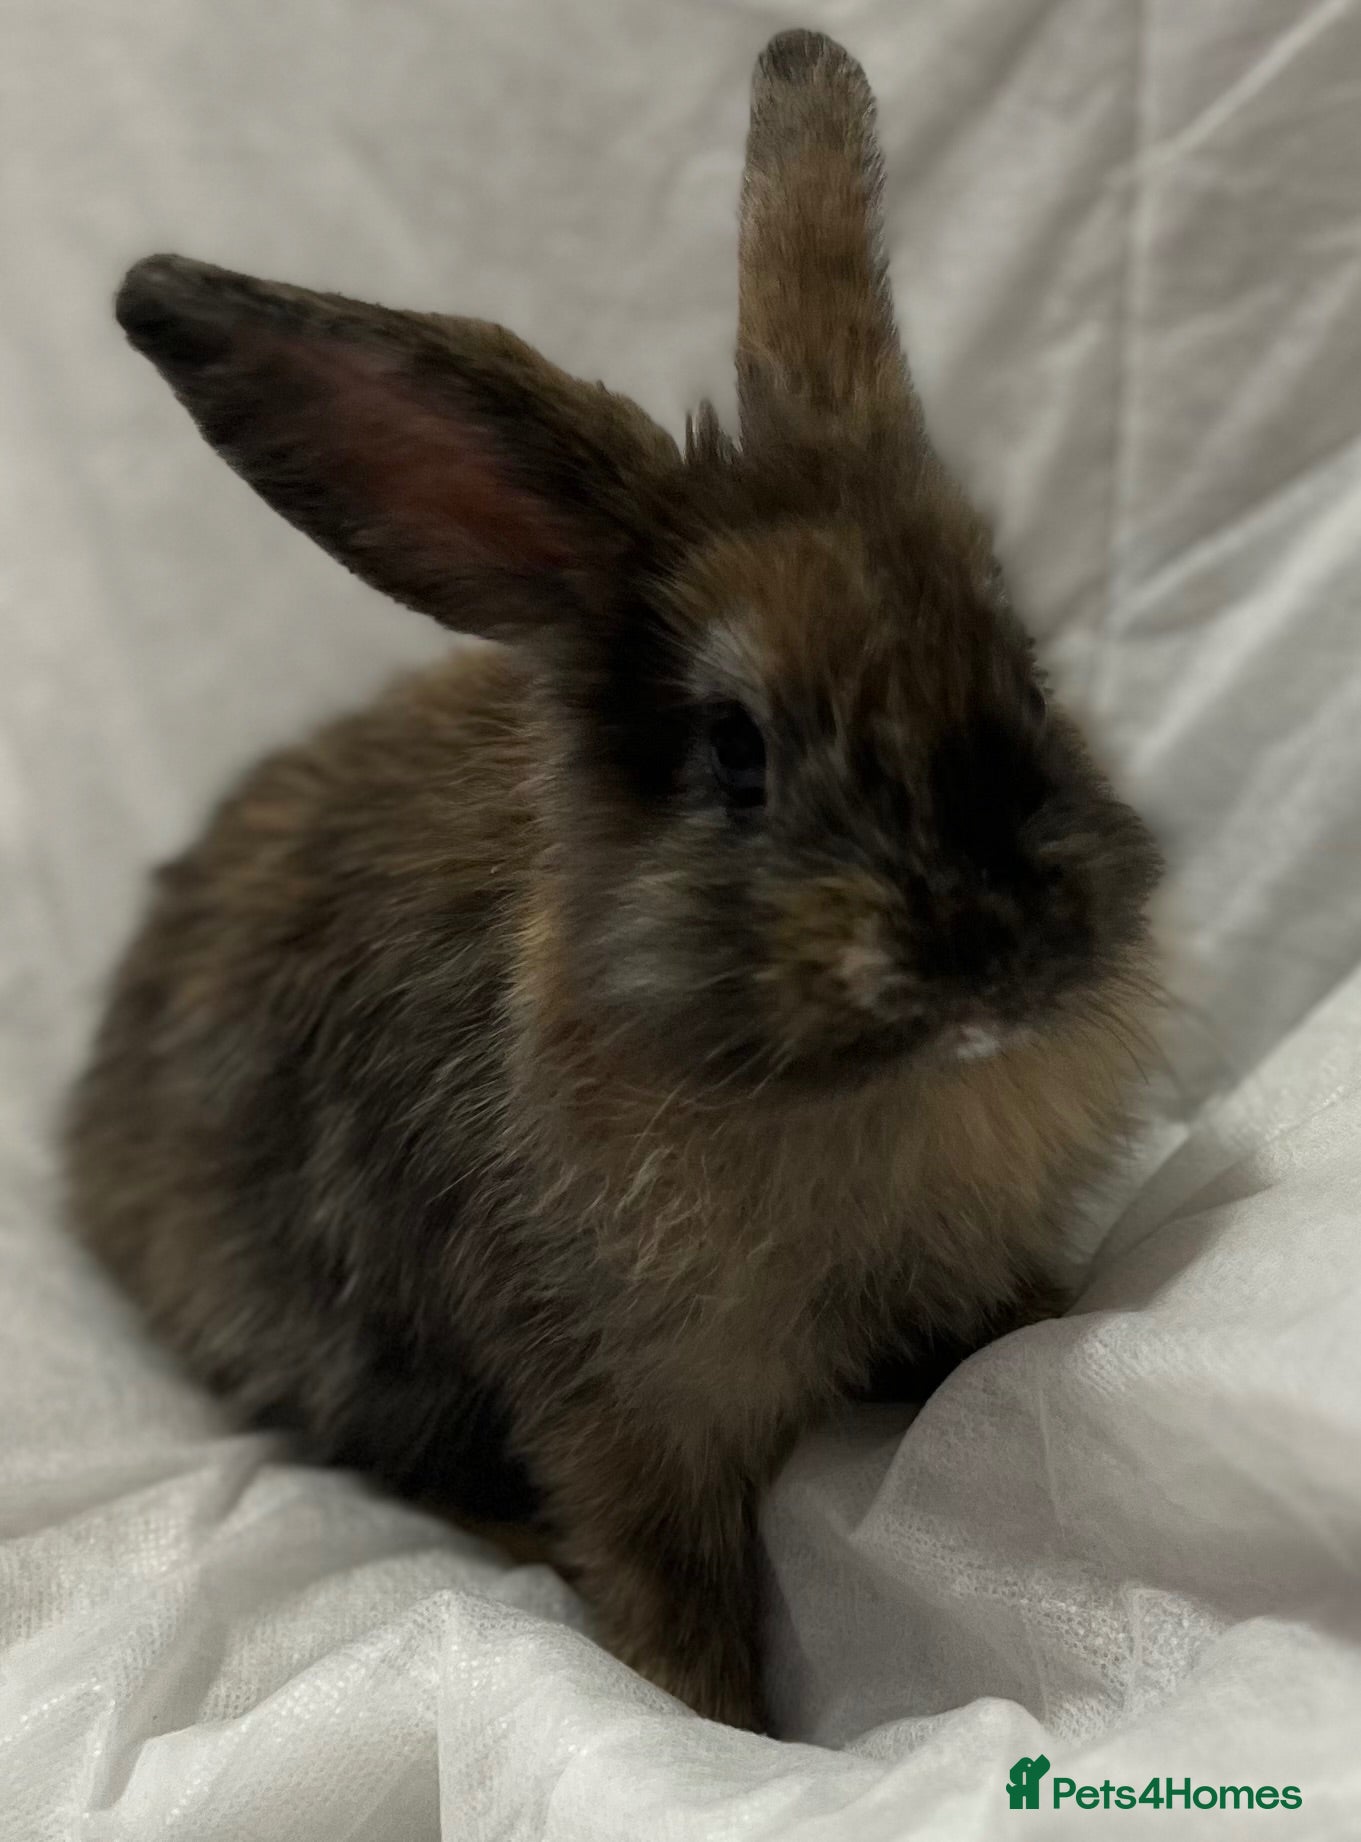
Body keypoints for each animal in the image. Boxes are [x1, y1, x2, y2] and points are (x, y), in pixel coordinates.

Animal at [65, 28, 1161, 1733]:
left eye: (1029, 679)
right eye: (734, 750)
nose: (991, 958)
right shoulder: (620, 1409)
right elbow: (670, 1584)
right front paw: (732, 1731)